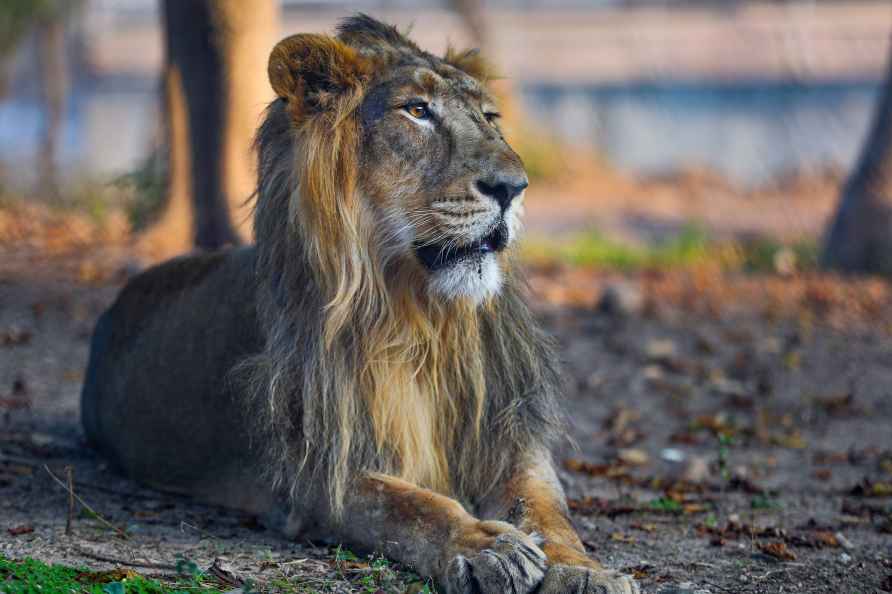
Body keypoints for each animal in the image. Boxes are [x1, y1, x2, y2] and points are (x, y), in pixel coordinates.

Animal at [80, 13, 636, 592]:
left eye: (489, 117)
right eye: (417, 111)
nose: (513, 187)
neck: (417, 316)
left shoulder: (509, 434)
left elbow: (546, 509)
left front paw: (585, 571)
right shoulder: (315, 471)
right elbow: (411, 506)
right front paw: (488, 545)